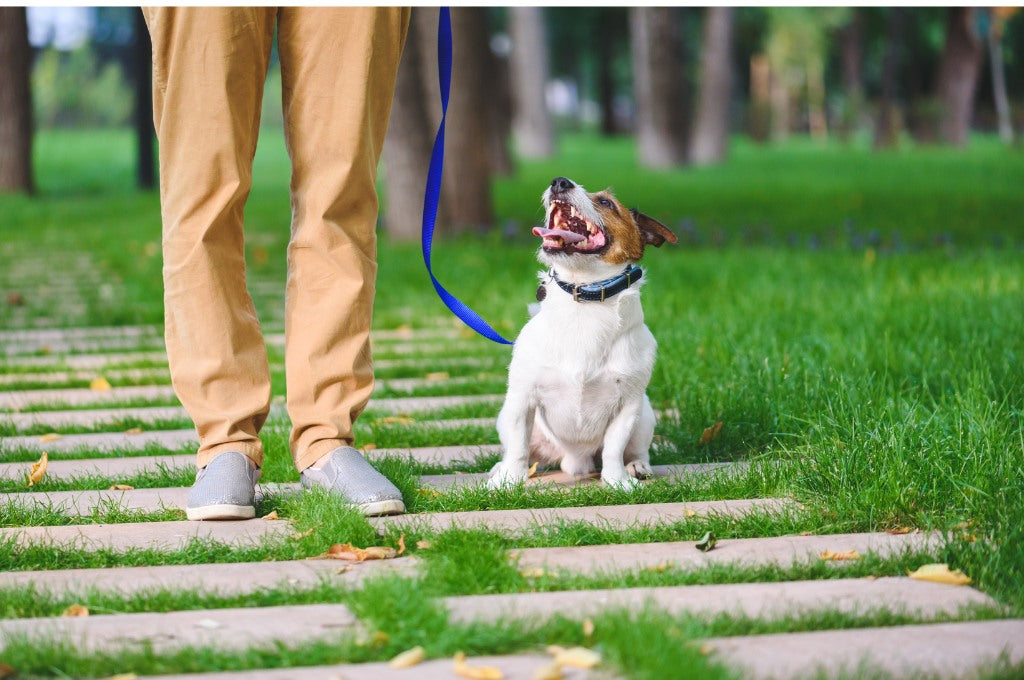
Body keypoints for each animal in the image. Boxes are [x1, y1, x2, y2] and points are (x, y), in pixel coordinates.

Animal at [489, 176, 675, 489]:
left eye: (606, 203)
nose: (559, 181)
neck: (585, 299)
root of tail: (574, 461)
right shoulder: (521, 399)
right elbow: (517, 449)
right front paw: (507, 482)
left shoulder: (628, 406)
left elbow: (613, 449)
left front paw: (617, 482)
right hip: (509, 417)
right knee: (524, 452)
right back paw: (500, 469)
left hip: (645, 416)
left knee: (637, 450)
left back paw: (637, 466)